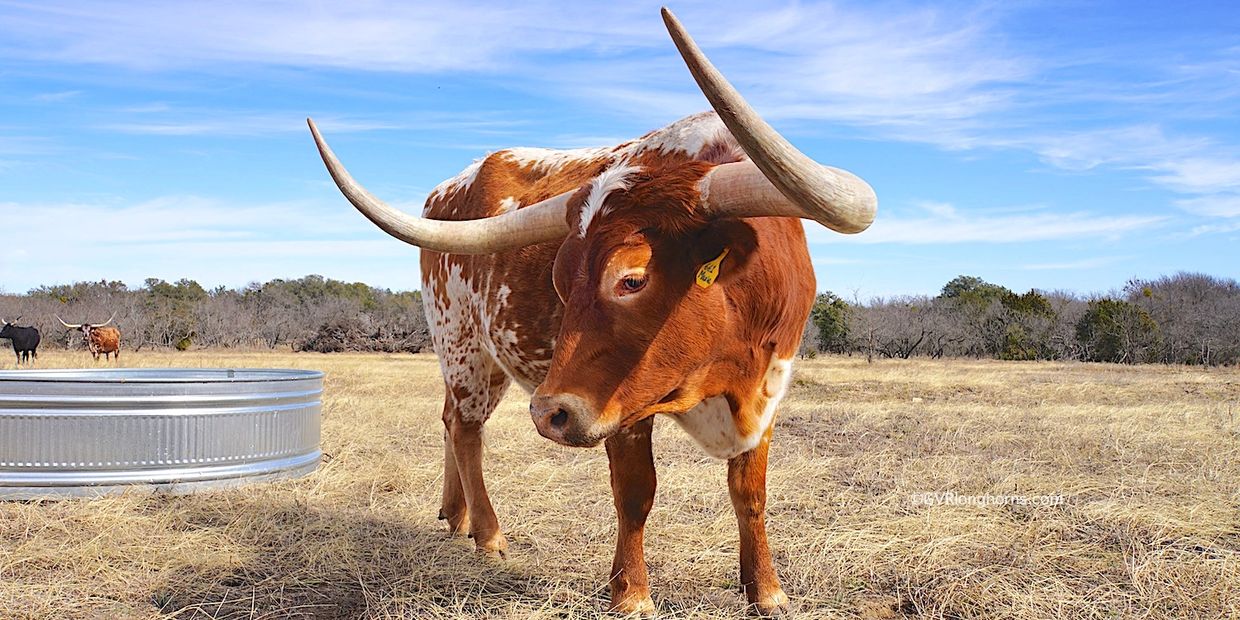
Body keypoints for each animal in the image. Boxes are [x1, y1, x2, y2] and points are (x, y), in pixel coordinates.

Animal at [309, 9, 875, 616]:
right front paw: (632, 594)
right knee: (464, 428)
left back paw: (455, 517)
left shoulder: (768, 388)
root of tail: (447, 190)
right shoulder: (622, 407)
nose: (548, 414)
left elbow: (750, 493)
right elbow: (635, 493)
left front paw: (767, 590)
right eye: (560, 281)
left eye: (632, 278)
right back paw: (487, 535)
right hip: (460, 343)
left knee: (451, 419)